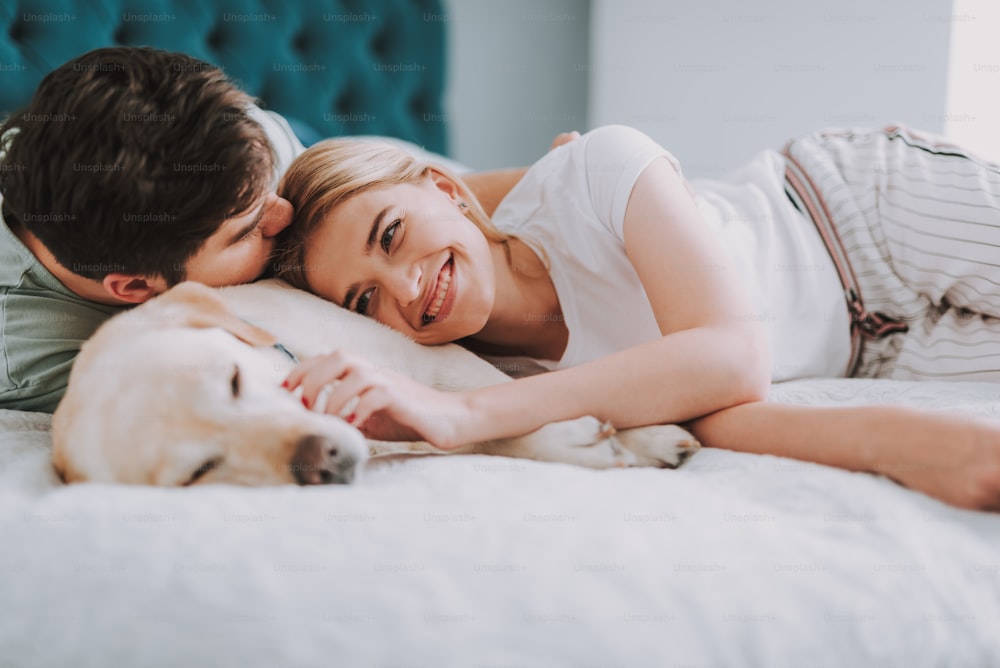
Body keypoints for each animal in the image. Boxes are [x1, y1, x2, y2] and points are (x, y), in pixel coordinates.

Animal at [50, 280, 700, 488]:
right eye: (199, 471)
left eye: (232, 380)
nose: (322, 459)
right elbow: (485, 429)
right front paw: (579, 442)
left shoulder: (436, 361)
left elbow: (490, 401)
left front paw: (643, 437)